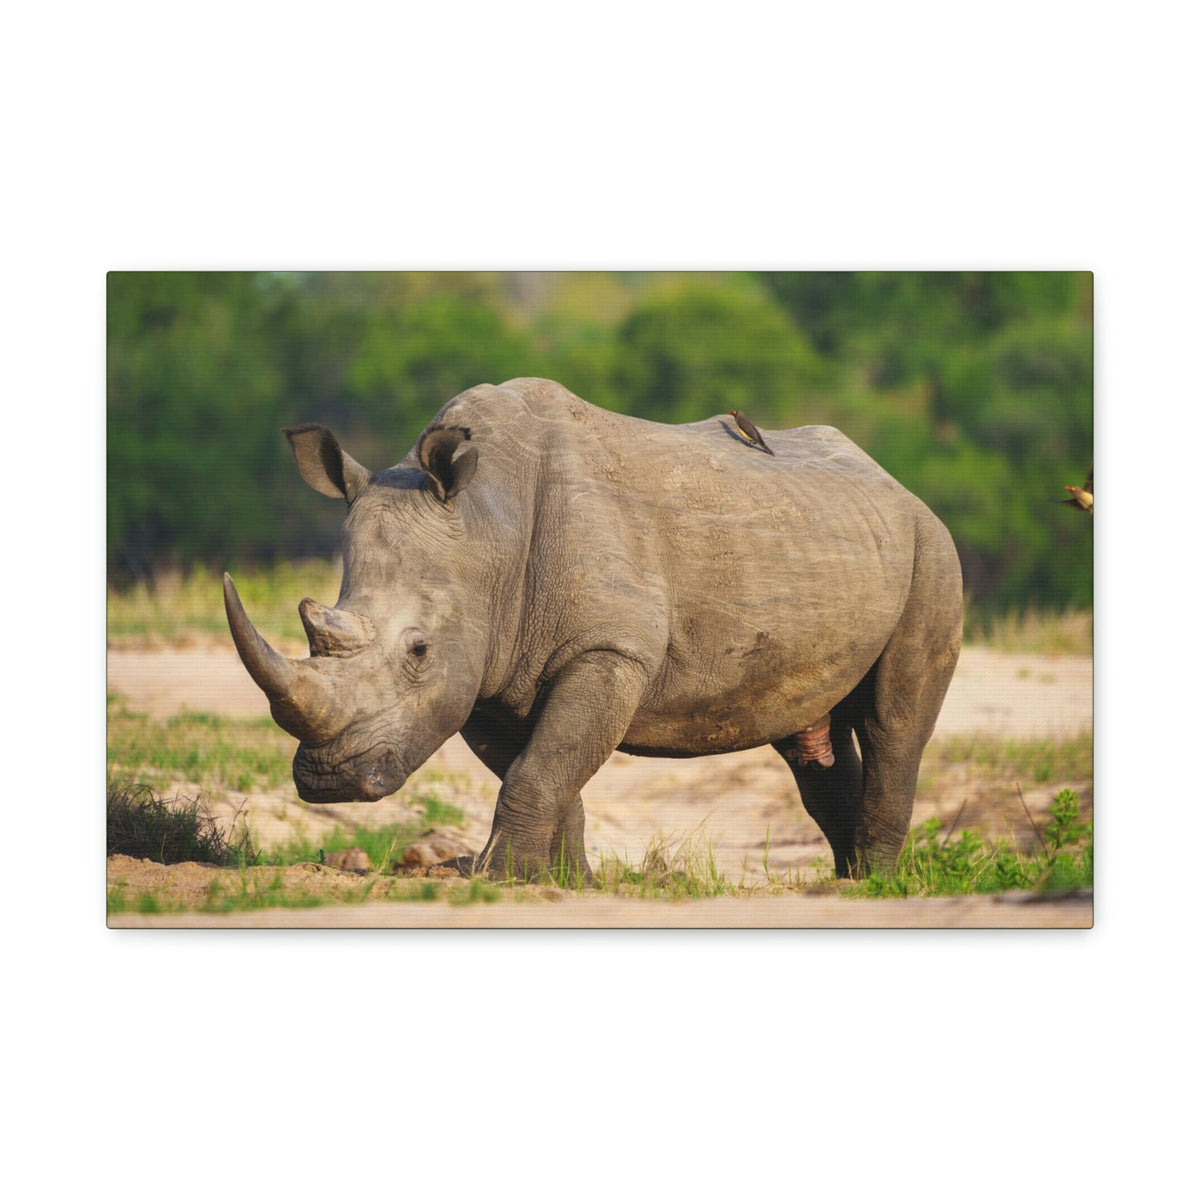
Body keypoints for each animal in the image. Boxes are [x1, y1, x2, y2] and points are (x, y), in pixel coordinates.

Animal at [225, 377, 962, 882]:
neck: (486, 525)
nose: (330, 781)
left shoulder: (607, 650)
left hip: (931, 548)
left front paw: (500, 878)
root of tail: (893, 482)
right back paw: (845, 881)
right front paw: (556, 882)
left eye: (418, 650)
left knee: (895, 724)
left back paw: (875, 886)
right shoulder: (488, 669)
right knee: (809, 740)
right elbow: (544, 768)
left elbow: (542, 766)